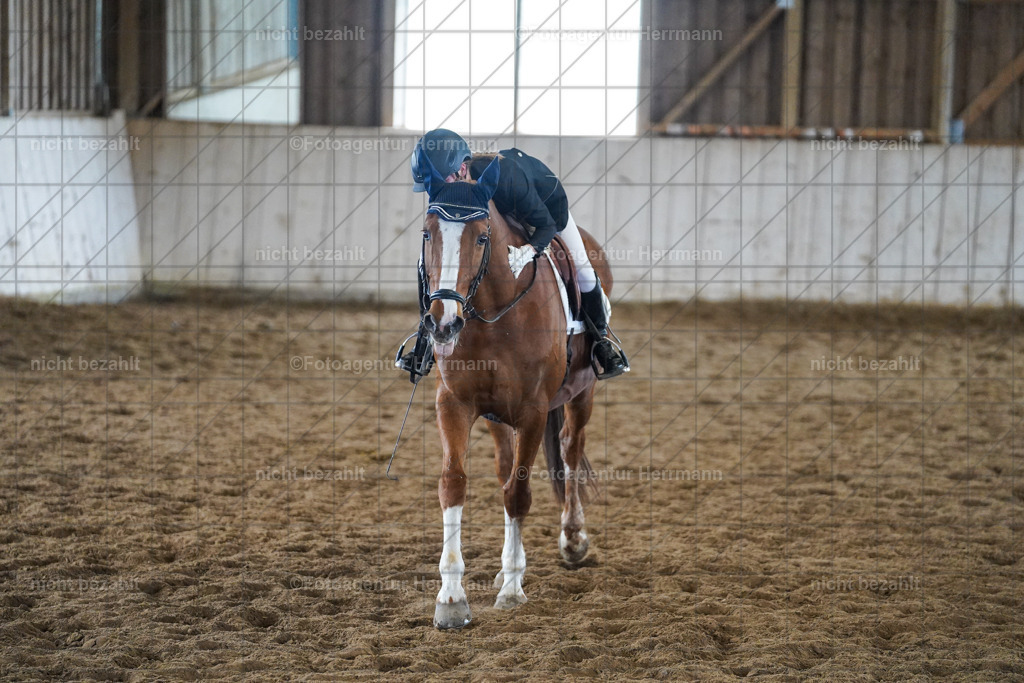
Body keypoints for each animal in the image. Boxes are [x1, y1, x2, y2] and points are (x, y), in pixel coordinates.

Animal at [417, 157, 610, 629]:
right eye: (428, 233)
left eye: (482, 237)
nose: (442, 323)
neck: (493, 312)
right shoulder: (454, 403)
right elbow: (454, 484)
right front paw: (451, 598)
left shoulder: (533, 411)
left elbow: (518, 494)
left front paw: (512, 591)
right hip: (496, 417)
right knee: (508, 466)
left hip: (582, 393)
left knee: (571, 449)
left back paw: (572, 540)